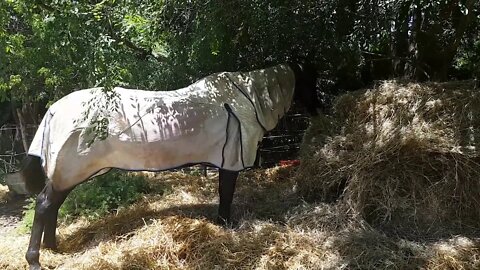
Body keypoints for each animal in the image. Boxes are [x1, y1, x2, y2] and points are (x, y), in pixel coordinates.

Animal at [20, 62, 320, 268]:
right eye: (310, 80)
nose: (320, 109)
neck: (246, 99)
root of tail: (53, 110)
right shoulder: (231, 160)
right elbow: (226, 194)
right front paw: (226, 225)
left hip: (67, 174)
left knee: (52, 206)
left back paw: (54, 247)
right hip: (69, 171)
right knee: (45, 204)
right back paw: (35, 258)